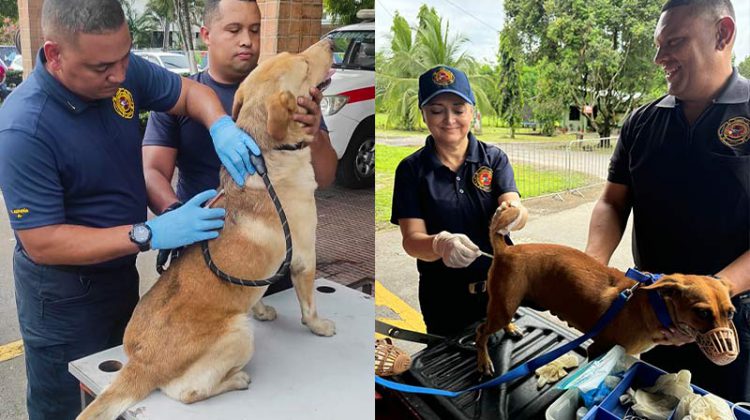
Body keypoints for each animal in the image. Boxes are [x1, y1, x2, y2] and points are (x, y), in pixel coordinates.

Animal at [77, 37, 334, 418]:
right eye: (302, 63)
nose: (331, 41)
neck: (266, 155)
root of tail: (141, 365)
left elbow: (257, 294)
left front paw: (262, 309)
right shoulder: (303, 256)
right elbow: (309, 305)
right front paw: (318, 326)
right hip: (239, 334)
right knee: (188, 393)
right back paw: (236, 379)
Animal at [476, 202, 740, 376]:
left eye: (731, 313)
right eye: (702, 313)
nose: (729, 354)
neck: (652, 305)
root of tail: (506, 250)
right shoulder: (598, 348)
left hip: (506, 304)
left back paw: (510, 329)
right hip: (503, 305)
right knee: (481, 331)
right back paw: (484, 362)